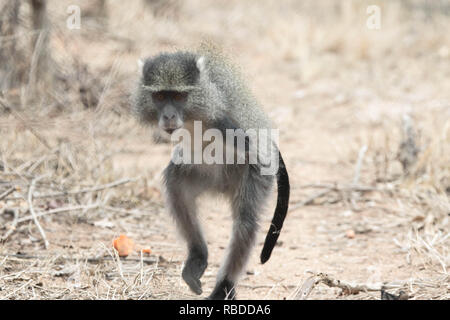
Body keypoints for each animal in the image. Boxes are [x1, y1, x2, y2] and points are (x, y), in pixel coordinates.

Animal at [132, 48, 290, 298]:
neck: (194, 116)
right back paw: (198, 255)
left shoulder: (224, 123)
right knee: (176, 187)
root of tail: (223, 186)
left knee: (245, 222)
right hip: (203, 175)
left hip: (246, 177)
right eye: (160, 97)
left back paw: (224, 285)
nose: (168, 116)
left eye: (179, 97)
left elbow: (256, 147)